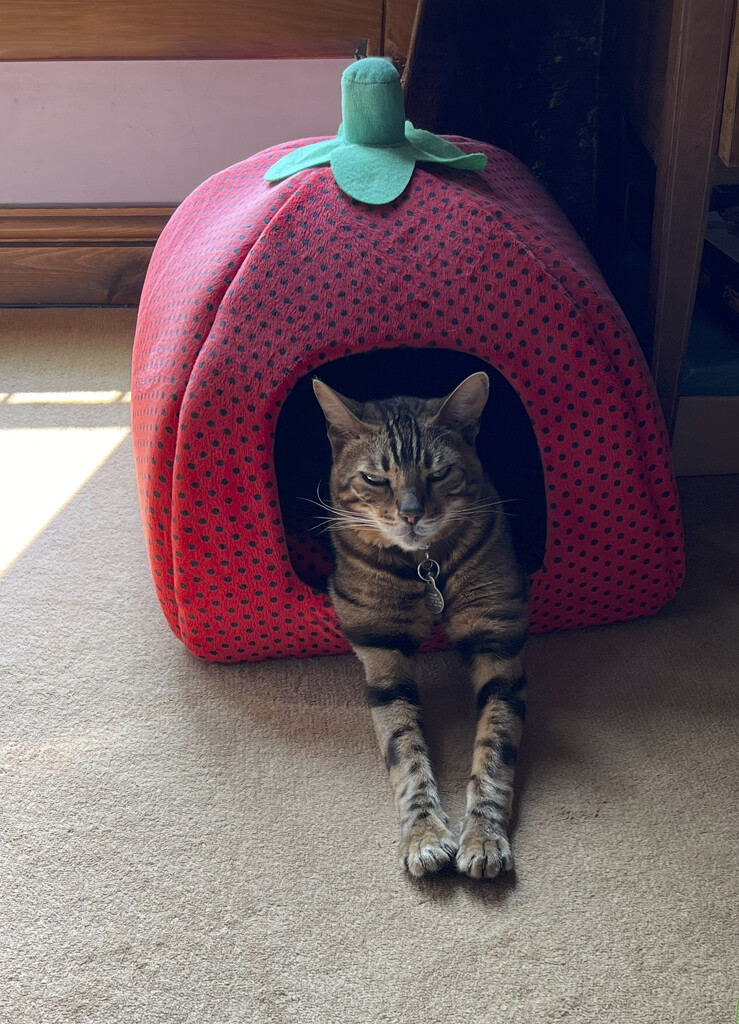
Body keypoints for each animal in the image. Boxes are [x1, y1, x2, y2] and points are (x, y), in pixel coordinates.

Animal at [313, 374, 528, 880]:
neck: (424, 566)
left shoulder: (497, 638)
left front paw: (484, 836)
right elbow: (405, 752)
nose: (411, 513)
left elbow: (494, 747)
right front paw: (425, 834)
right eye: (375, 478)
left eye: (439, 473)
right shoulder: (381, 650)